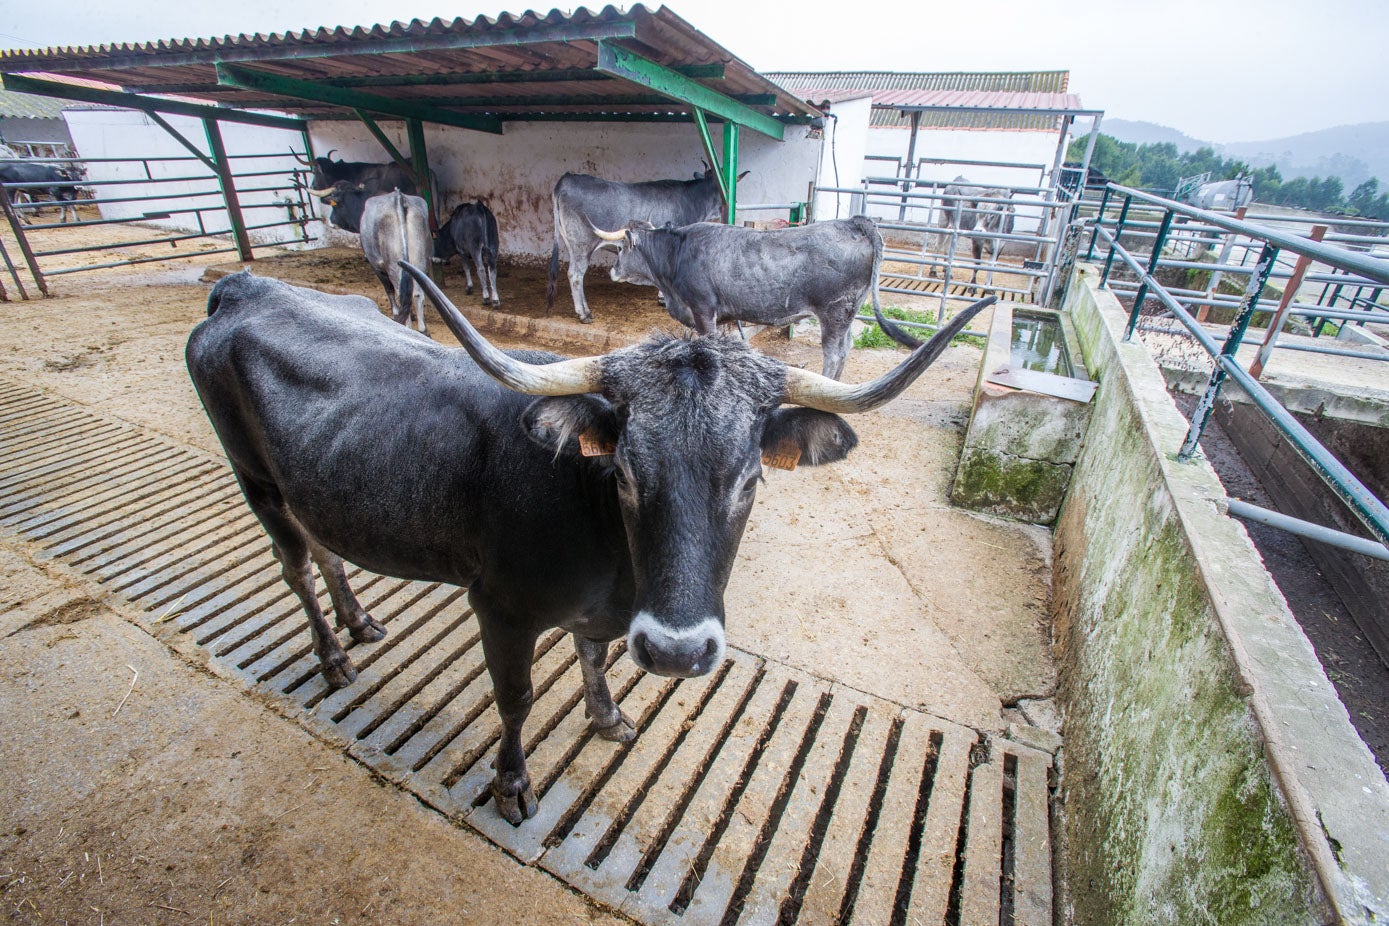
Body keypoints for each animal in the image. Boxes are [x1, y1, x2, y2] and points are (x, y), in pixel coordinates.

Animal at [185, 264, 987, 824]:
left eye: (751, 478)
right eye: (624, 472)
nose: (676, 652)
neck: (614, 568)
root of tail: (243, 285)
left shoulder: (600, 617)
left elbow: (593, 656)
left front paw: (606, 719)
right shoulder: (499, 608)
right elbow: (515, 697)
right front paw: (512, 785)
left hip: (305, 486)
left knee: (323, 551)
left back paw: (359, 622)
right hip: (256, 480)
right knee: (295, 567)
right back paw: (332, 656)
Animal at [546, 167, 743, 323]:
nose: (735, 202)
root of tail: (567, 178)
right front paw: (664, 299)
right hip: (582, 243)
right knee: (575, 275)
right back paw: (584, 314)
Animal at [593, 215, 886, 380]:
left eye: (620, 248)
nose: (612, 271)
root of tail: (853, 222)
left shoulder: (702, 309)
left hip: (833, 313)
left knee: (834, 353)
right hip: (846, 314)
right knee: (846, 347)